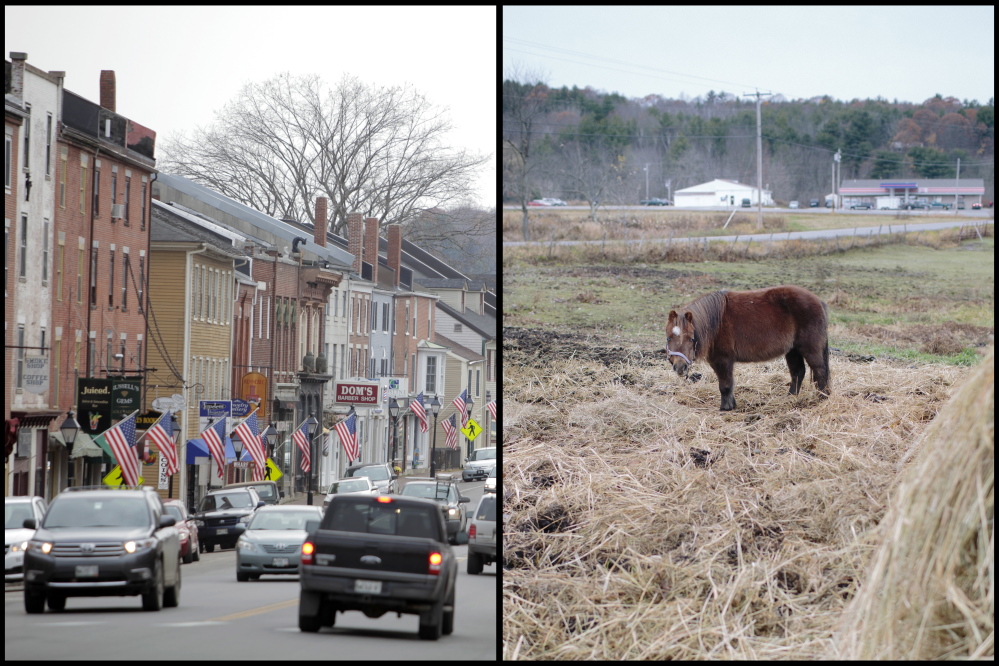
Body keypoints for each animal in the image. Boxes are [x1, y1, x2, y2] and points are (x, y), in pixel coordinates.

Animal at [668, 282, 832, 408]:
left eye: (690, 338)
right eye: (669, 338)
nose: (680, 368)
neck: (715, 323)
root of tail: (819, 301)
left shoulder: (722, 360)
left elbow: (725, 384)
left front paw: (726, 408)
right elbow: (728, 383)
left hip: (810, 349)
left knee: (820, 371)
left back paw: (822, 399)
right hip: (792, 350)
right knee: (798, 372)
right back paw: (790, 398)